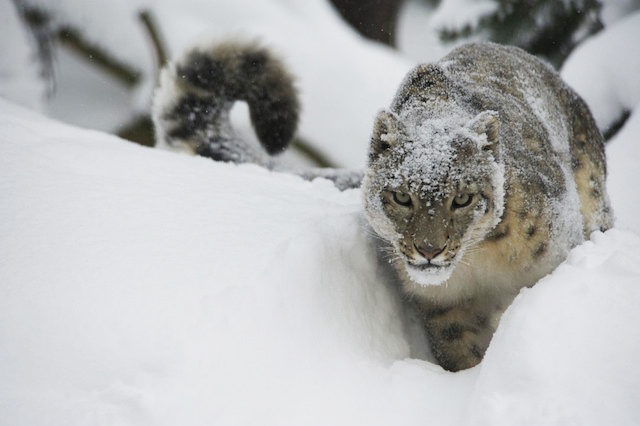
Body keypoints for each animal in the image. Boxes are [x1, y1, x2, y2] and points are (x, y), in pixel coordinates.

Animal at [151, 40, 616, 372]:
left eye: (462, 198)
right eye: (402, 196)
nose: (429, 250)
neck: (482, 269)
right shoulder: (447, 311)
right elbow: (464, 354)